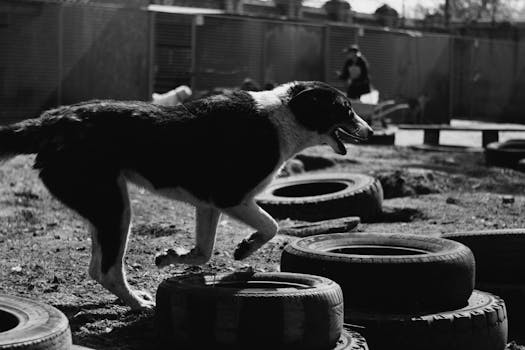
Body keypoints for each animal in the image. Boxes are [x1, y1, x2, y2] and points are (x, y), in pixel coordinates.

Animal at [0, 81, 370, 308]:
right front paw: (245, 247)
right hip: (115, 209)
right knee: (107, 271)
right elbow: (271, 226)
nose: (371, 130)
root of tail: (50, 121)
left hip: (105, 207)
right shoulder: (232, 198)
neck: (284, 115)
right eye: (346, 108)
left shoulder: (208, 204)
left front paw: (171, 257)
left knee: (97, 269)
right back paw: (138, 303)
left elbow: (204, 252)